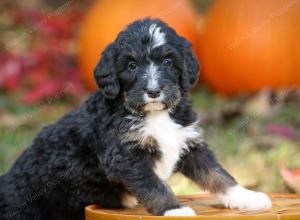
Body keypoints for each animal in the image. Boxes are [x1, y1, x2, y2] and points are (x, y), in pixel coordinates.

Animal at [0, 18, 272, 220]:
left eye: (167, 61)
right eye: (131, 66)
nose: (153, 91)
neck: (155, 114)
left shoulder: (189, 143)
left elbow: (217, 174)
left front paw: (247, 197)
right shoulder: (125, 156)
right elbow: (154, 185)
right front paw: (173, 209)